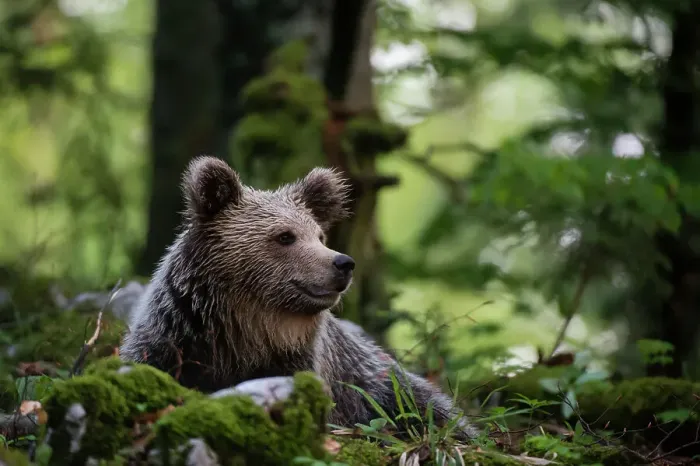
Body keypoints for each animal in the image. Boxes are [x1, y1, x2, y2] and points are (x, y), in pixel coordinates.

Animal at [120, 156, 477, 439]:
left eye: (319, 235)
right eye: (285, 236)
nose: (343, 263)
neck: (245, 332)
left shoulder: (307, 368)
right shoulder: (171, 340)